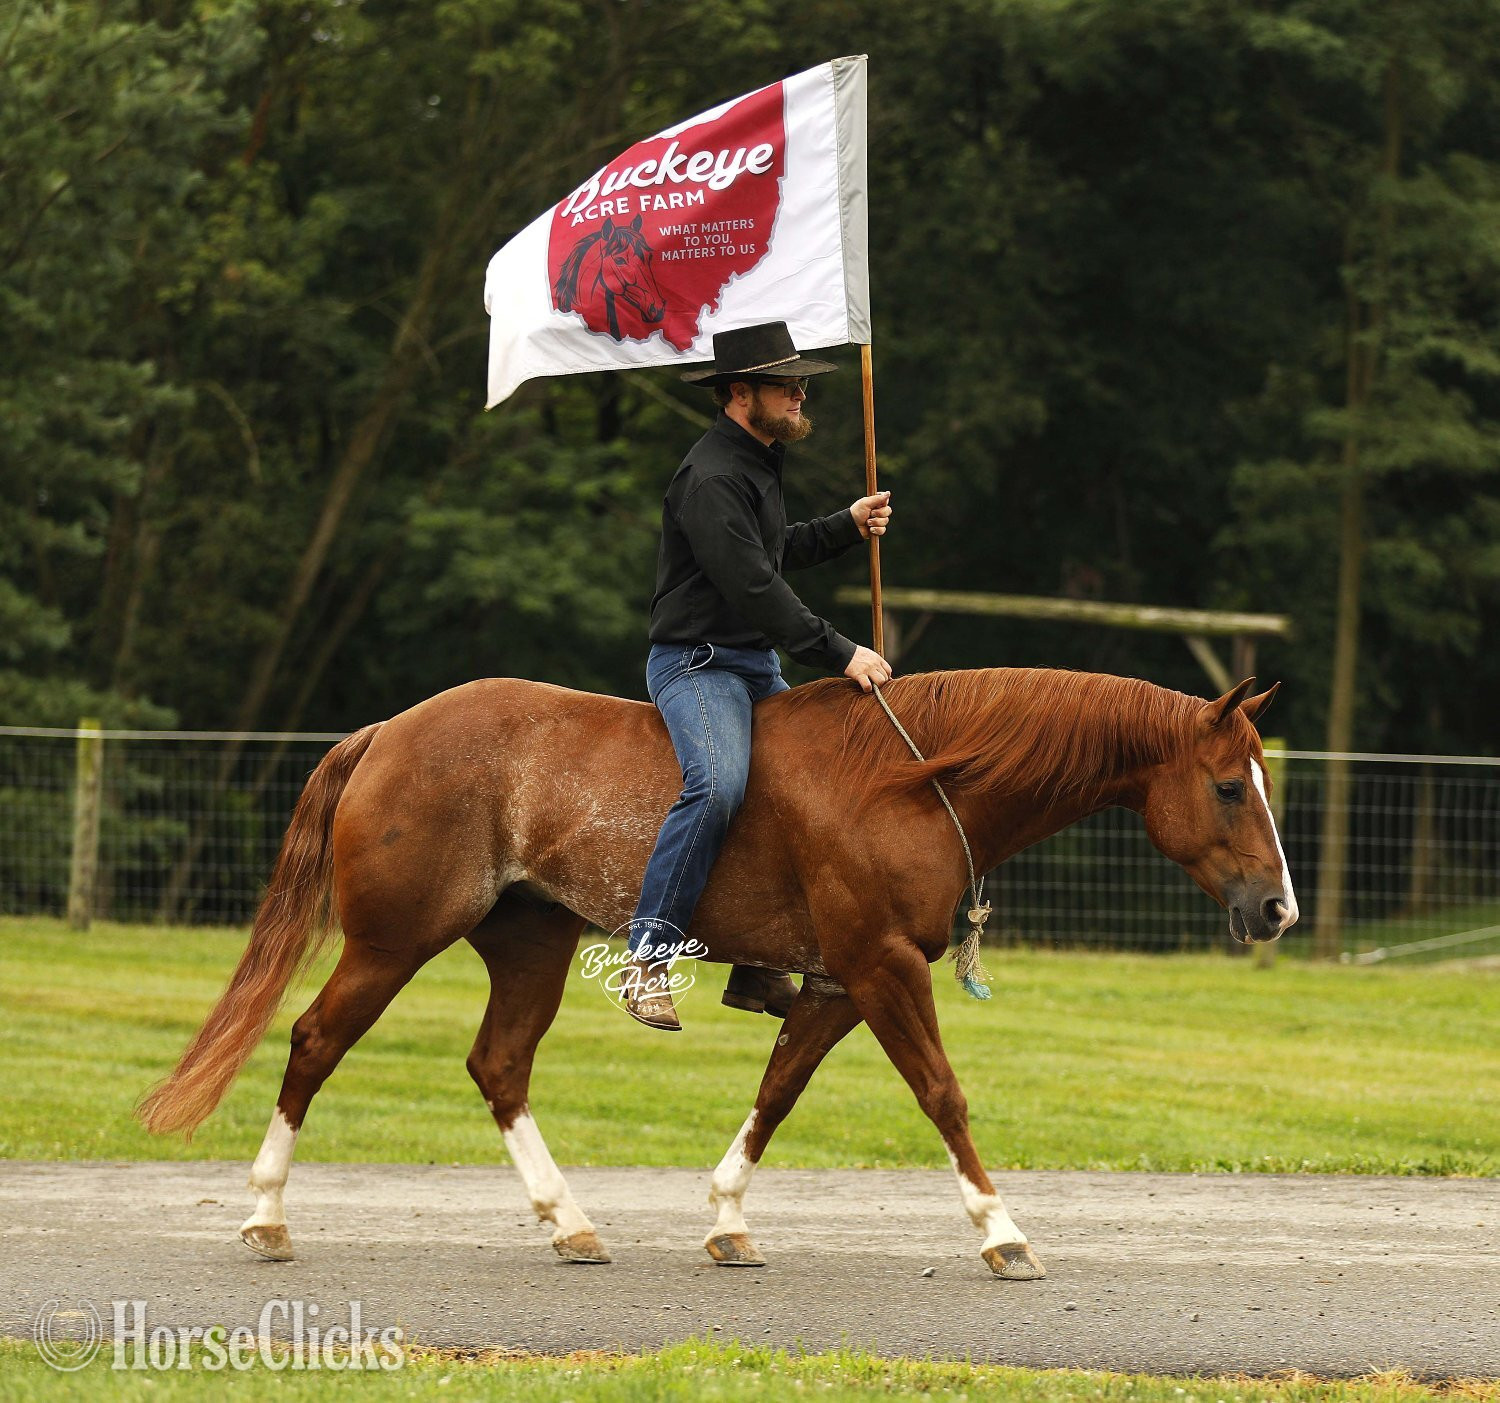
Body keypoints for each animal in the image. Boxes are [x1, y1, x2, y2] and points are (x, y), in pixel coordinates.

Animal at [137, 667, 1296, 1281]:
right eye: (1229, 786)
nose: (1277, 908)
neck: (911, 781)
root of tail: (390, 729)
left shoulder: (839, 982)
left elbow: (777, 1092)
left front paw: (729, 1216)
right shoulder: (882, 970)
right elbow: (942, 1093)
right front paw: (1004, 1230)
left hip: (530, 946)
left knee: (499, 1065)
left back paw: (569, 1219)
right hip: (391, 943)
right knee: (314, 1040)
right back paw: (267, 1212)